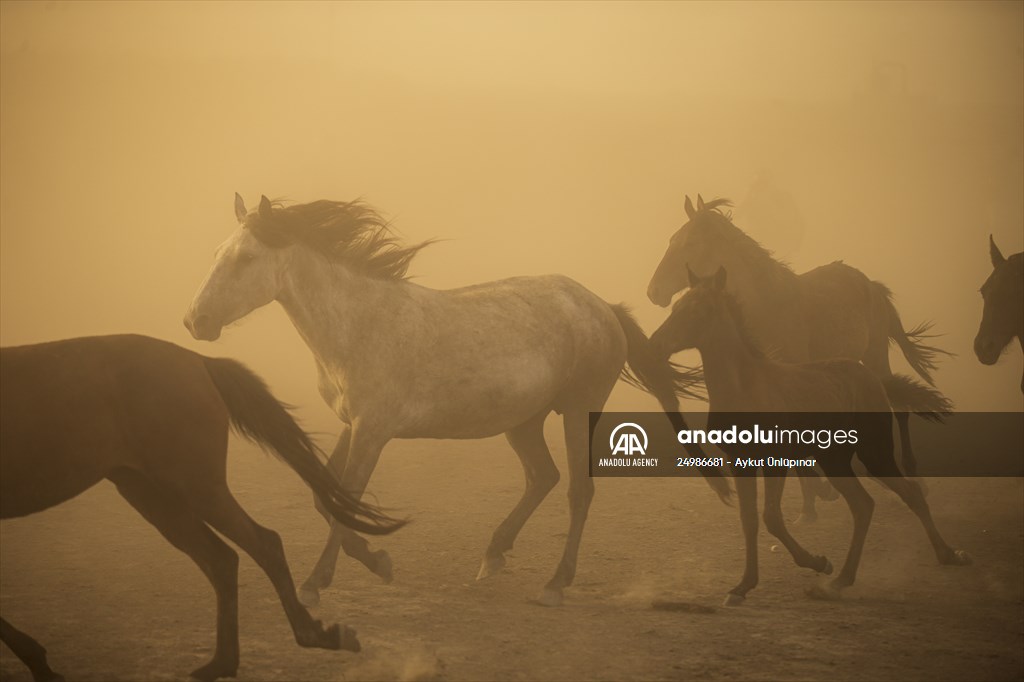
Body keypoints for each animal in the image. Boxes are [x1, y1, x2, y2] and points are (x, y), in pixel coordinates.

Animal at [0, 334, 404, 682]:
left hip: (193, 485)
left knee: (262, 543)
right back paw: (222, 662)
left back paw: (314, 635)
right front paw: (39, 662)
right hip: (149, 492)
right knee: (221, 558)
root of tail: (199, 362)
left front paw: (40, 663)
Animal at [183, 194, 728, 608]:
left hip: (577, 411)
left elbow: (344, 501)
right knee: (543, 477)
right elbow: (324, 495)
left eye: (246, 259)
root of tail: (602, 307)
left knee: (579, 490)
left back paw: (555, 583)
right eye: (215, 253)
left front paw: (317, 583)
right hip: (523, 421)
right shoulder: (350, 425)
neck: (358, 324)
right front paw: (379, 563)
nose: (194, 321)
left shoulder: (372, 432)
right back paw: (493, 556)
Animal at [647, 194, 952, 520]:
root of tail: (870, 285)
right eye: (672, 240)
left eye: (689, 243)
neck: (767, 304)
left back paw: (914, 478)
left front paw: (817, 496)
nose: (653, 291)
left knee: (900, 407)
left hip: (876, 354)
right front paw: (810, 503)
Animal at [649, 267, 971, 605]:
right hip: (835, 460)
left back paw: (942, 556)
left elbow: (771, 517)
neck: (744, 388)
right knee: (865, 504)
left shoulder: (774, 460)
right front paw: (742, 586)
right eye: (676, 307)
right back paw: (844, 580)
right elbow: (749, 520)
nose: (655, 345)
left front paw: (818, 562)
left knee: (906, 493)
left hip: (874, 451)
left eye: (697, 309)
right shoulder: (740, 461)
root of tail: (873, 378)